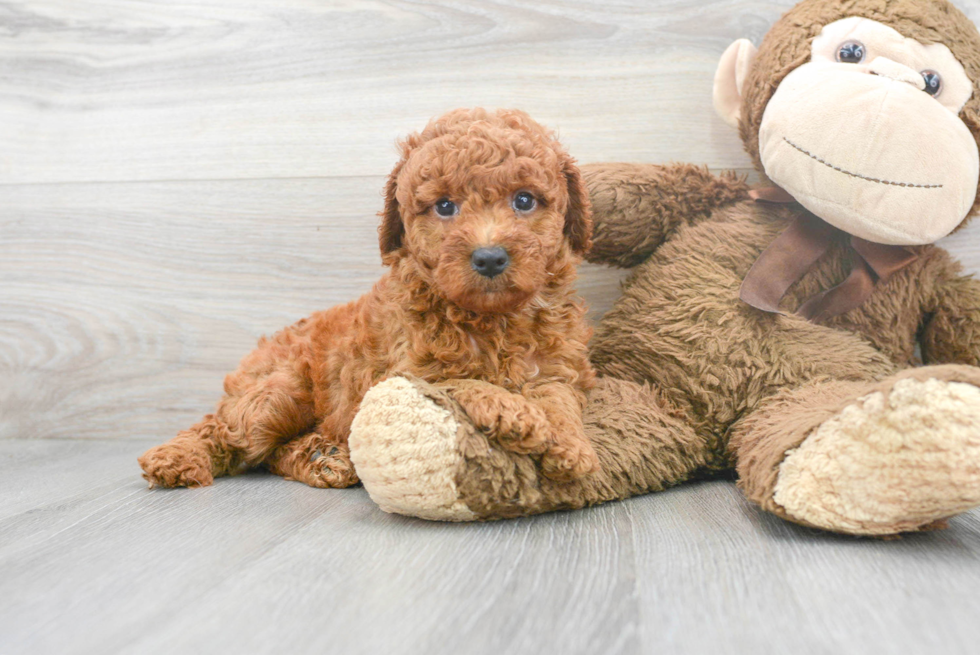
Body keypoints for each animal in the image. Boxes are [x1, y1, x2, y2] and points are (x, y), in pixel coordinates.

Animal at [138, 107, 596, 490]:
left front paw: (570, 445)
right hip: (279, 393)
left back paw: (323, 458)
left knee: (269, 453)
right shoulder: (406, 376)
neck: (493, 318)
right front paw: (517, 413)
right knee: (226, 430)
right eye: (445, 206)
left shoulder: (558, 368)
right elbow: (463, 382)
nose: (489, 257)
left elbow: (558, 398)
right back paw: (174, 458)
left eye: (524, 200)